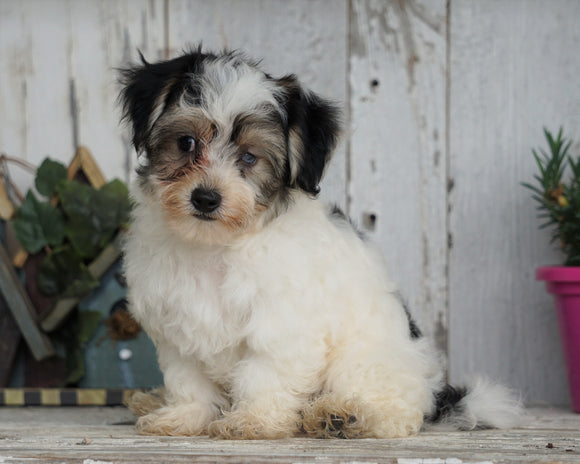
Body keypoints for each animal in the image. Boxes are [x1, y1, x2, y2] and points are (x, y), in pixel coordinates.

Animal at [118, 47, 520, 438]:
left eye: (249, 157)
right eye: (186, 143)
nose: (205, 198)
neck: (214, 245)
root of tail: (436, 393)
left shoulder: (280, 324)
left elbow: (263, 374)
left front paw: (253, 421)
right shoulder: (177, 327)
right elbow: (189, 380)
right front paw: (184, 416)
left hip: (370, 361)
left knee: (396, 409)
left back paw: (343, 416)